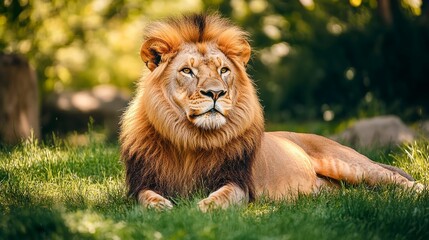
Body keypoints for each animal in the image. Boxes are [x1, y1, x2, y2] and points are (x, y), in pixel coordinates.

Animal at [119, 13, 422, 212]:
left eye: (223, 70)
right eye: (187, 71)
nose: (216, 93)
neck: (190, 139)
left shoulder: (238, 183)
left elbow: (221, 198)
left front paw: (200, 208)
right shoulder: (141, 183)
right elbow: (146, 198)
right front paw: (162, 208)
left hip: (349, 164)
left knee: (393, 178)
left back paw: (416, 192)